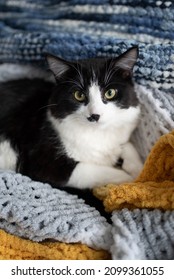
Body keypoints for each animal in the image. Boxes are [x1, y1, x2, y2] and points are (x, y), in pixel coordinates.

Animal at [0, 47, 143, 192]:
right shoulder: (43, 162)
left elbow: (127, 145)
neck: (97, 133)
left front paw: (137, 168)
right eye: (79, 95)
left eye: (110, 93)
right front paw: (132, 180)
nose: (94, 115)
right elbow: (95, 171)